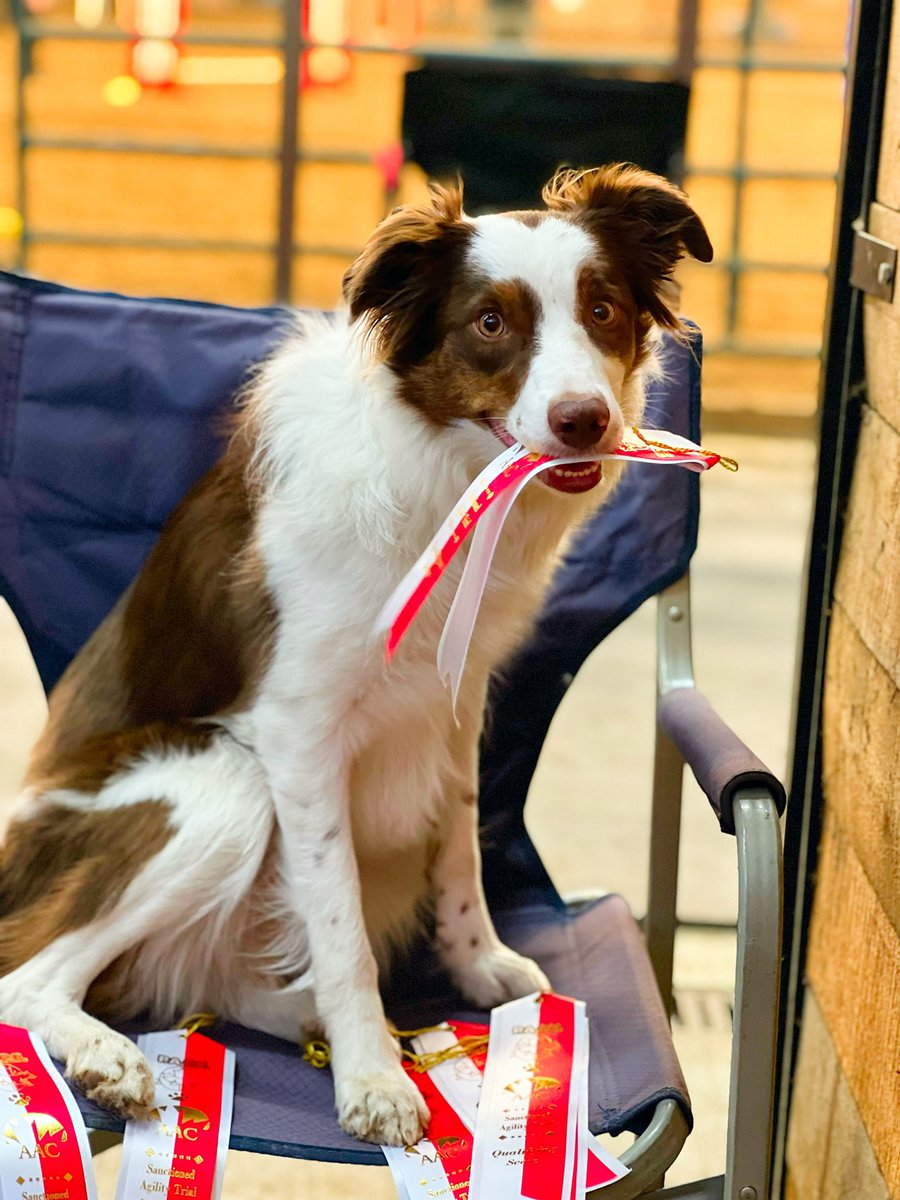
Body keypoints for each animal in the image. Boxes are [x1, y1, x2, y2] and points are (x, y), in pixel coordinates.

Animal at [0, 164, 710, 1147]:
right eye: (490, 323)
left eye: (601, 308)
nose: (584, 422)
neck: (440, 475)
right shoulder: (299, 737)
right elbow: (341, 931)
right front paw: (374, 1076)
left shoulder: (456, 697)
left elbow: (460, 851)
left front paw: (476, 961)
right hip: (222, 782)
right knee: (25, 980)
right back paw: (111, 1056)